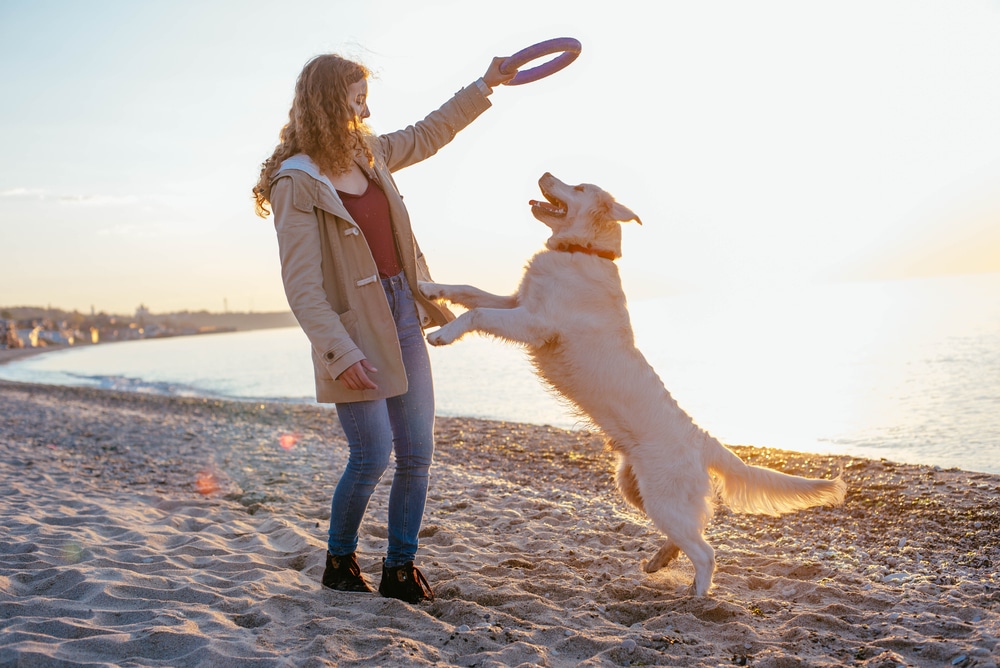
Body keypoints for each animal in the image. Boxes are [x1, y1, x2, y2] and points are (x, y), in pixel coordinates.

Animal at [418, 172, 848, 596]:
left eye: (578, 187)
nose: (544, 173)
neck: (583, 251)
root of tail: (701, 438)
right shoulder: (516, 302)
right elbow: (471, 292)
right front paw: (430, 288)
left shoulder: (535, 322)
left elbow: (476, 314)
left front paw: (442, 333)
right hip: (635, 488)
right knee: (694, 533)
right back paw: (661, 561)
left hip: (662, 498)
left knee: (706, 551)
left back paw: (696, 597)